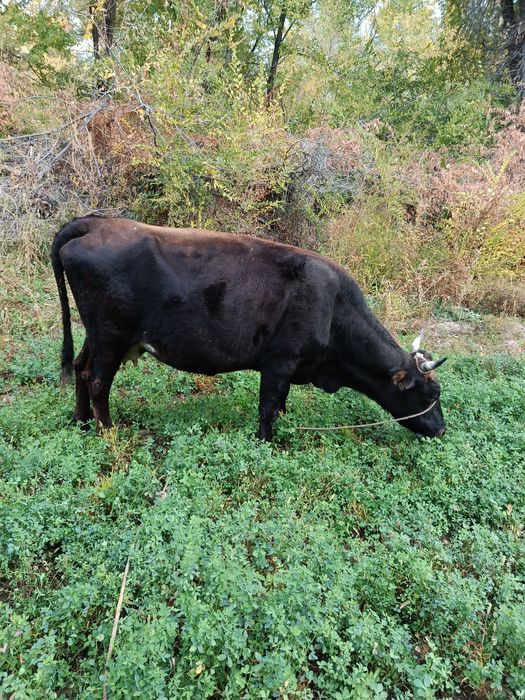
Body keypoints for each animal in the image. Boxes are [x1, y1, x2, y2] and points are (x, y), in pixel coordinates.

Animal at [51, 216, 447, 441]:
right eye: (430, 394)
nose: (442, 429)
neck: (334, 308)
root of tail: (98, 223)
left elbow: (281, 404)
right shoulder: (279, 361)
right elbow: (267, 407)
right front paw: (266, 442)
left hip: (98, 334)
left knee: (80, 368)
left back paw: (81, 421)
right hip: (111, 334)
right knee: (97, 380)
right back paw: (107, 432)